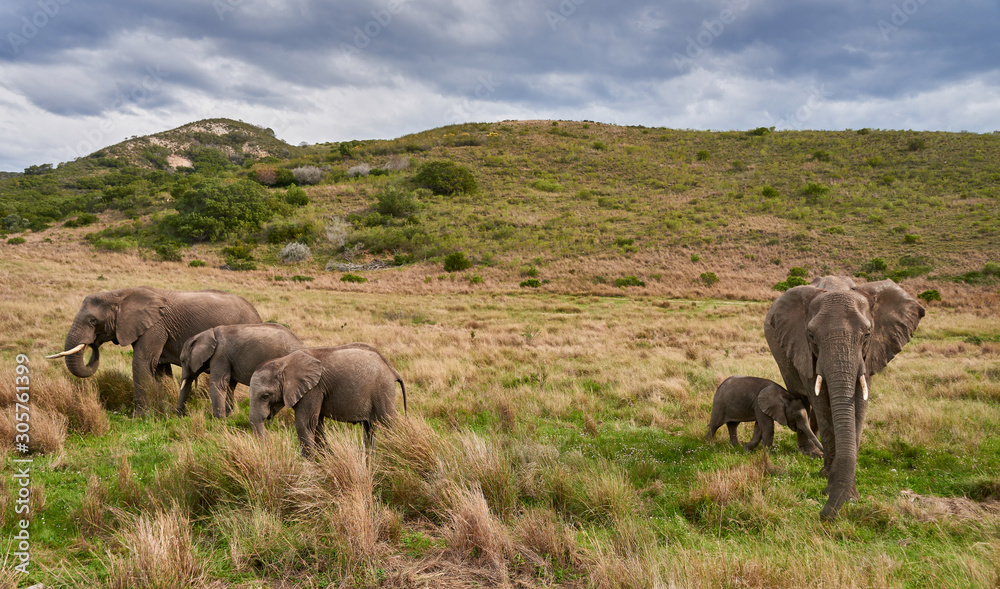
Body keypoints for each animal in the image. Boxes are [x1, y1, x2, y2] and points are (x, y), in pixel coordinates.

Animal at [47, 286, 261, 416]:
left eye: (93, 320)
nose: (92, 343)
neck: (120, 294)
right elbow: (159, 368)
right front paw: (161, 409)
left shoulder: (155, 326)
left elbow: (142, 362)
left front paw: (139, 417)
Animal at [177, 323, 305, 418]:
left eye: (182, 361)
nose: (182, 417)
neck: (207, 333)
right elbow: (229, 386)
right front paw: (228, 418)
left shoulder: (220, 355)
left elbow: (218, 383)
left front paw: (219, 421)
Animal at [248, 344, 407, 456]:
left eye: (265, 396)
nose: (270, 448)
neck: (283, 362)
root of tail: (392, 369)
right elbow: (316, 424)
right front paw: (327, 461)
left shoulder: (313, 389)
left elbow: (305, 425)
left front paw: (309, 470)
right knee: (370, 428)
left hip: (383, 390)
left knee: (387, 425)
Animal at [765, 276, 924, 520]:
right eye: (811, 336)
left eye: (867, 334)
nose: (823, 515)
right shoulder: (804, 348)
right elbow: (822, 403)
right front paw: (829, 482)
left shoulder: (871, 353)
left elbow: (859, 406)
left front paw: (849, 495)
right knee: (802, 398)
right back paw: (810, 453)